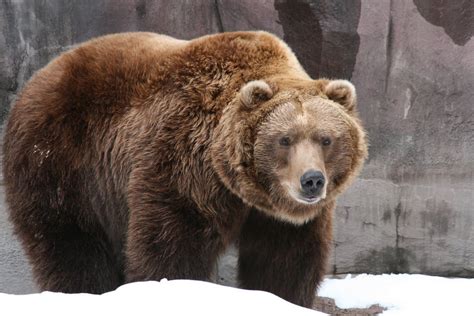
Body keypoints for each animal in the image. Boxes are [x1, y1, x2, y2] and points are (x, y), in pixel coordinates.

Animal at [1, 30, 368, 308]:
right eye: (285, 139)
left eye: (326, 139)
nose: (312, 181)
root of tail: (37, 77)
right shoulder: (183, 162)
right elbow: (172, 242)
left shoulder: (278, 217)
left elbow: (285, 259)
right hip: (60, 162)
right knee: (70, 243)